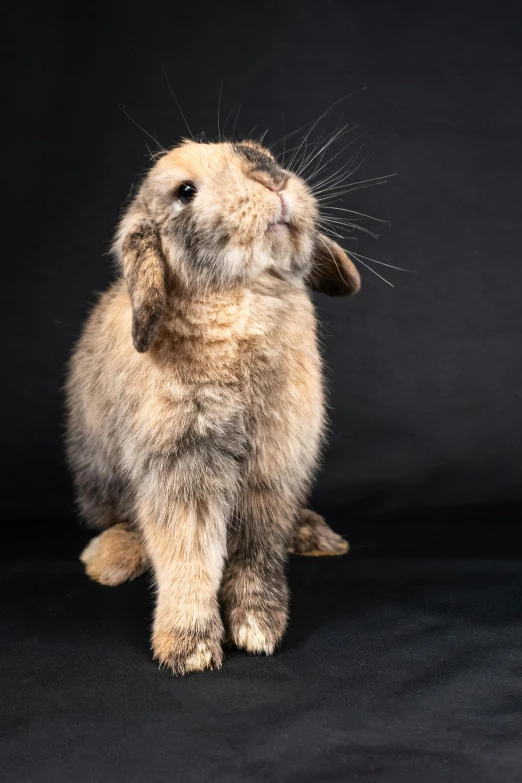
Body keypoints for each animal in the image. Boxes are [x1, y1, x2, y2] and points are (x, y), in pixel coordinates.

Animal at [64, 139, 358, 672]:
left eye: (266, 154)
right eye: (185, 191)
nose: (272, 179)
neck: (242, 296)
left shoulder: (273, 465)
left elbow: (256, 552)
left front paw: (259, 628)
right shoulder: (182, 465)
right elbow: (188, 553)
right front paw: (190, 648)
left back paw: (318, 537)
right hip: (100, 480)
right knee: (124, 522)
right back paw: (108, 561)